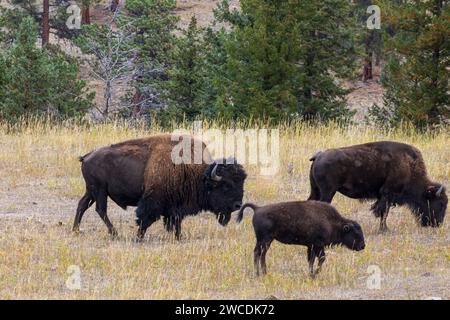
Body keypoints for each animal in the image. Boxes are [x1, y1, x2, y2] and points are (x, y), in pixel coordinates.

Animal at [74, 133, 250, 240]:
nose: (238, 205)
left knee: (83, 205)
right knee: (100, 209)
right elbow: (145, 218)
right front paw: (138, 237)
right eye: (226, 185)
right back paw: (115, 233)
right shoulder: (153, 200)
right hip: (99, 190)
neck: (194, 172)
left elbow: (176, 221)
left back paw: (76, 229)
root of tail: (87, 156)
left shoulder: (176, 206)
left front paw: (178, 237)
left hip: (91, 191)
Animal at [236, 201, 366, 276]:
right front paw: (315, 274)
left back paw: (264, 272)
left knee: (262, 254)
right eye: (355, 233)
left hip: (267, 241)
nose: (363, 246)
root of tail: (257, 208)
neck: (334, 223)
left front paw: (311, 273)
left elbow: (311, 260)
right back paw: (258, 274)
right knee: (258, 253)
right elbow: (321, 258)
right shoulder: (317, 245)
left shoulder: (311, 246)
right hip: (264, 240)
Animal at [310, 141, 446, 231]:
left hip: (316, 190)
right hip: (328, 192)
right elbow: (383, 212)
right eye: (441, 203)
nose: (438, 224)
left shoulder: (385, 197)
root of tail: (319, 155)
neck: (409, 165)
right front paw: (385, 229)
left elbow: (383, 211)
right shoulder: (388, 194)